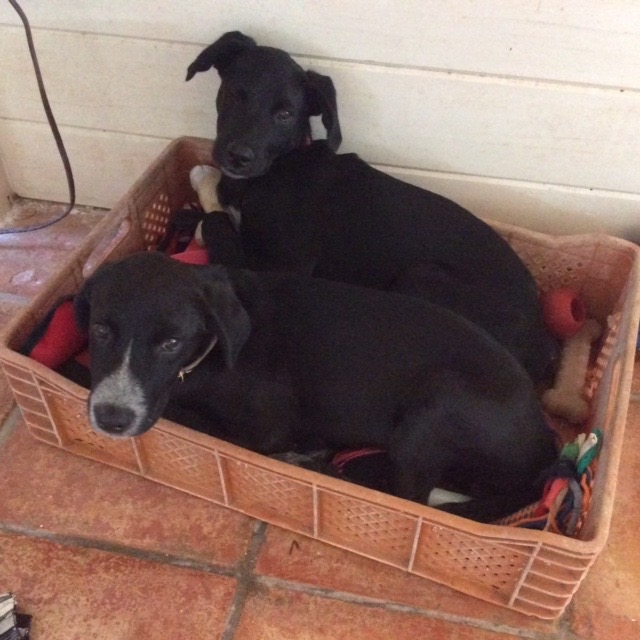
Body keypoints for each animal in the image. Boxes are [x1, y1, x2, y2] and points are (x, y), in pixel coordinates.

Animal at [72, 251, 556, 524]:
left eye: (171, 343)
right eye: (100, 331)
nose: (111, 419)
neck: (205, 356)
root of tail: (544, 445)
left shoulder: (262, 431)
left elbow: (186, 417)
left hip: (433, 410)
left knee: (408, 497)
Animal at [186, 31, 560, 384]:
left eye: (285, 114)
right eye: (235, 94)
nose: (239, 156)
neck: (275, 168)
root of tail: (542, 347)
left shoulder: (277, 268)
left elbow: (217, 223)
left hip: (423, 276)